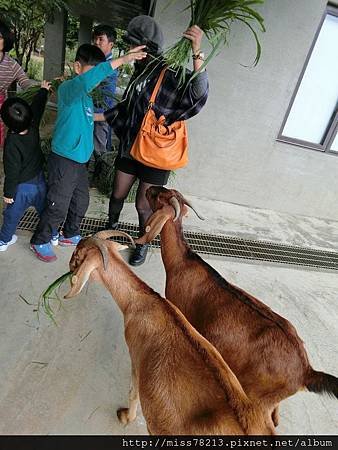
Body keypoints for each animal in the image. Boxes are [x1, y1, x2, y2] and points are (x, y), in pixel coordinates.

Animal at [62, 230, 274, 434]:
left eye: (77, 256)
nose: (69, 268)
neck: (143, 302)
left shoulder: (136, 360)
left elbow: (133, 393)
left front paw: (125, 417)